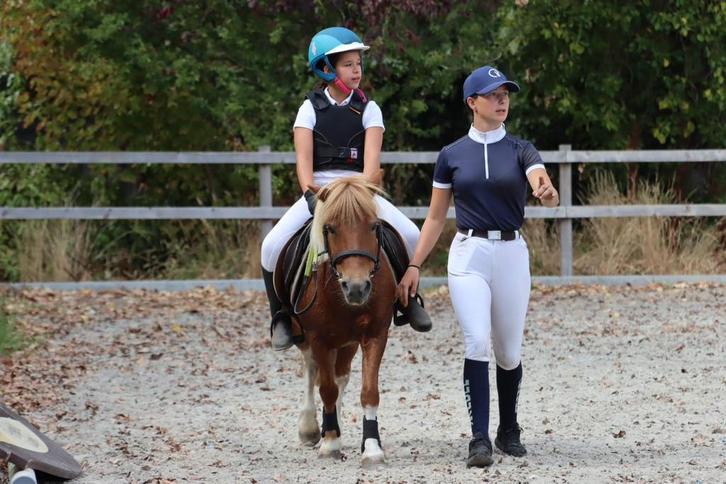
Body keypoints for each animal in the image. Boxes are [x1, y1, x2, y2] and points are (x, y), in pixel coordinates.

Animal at [275, 176, 398, 467]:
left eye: (374, 226)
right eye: (330, 229)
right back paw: (311, 429)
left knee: (340, 375)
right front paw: (330, 443)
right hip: (306, 335)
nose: (356, 288)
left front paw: (372, 448)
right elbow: (326, 389)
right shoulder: (318, 338)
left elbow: (368, 391)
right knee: (312, 371)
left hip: (347, 342)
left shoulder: (375, 334)